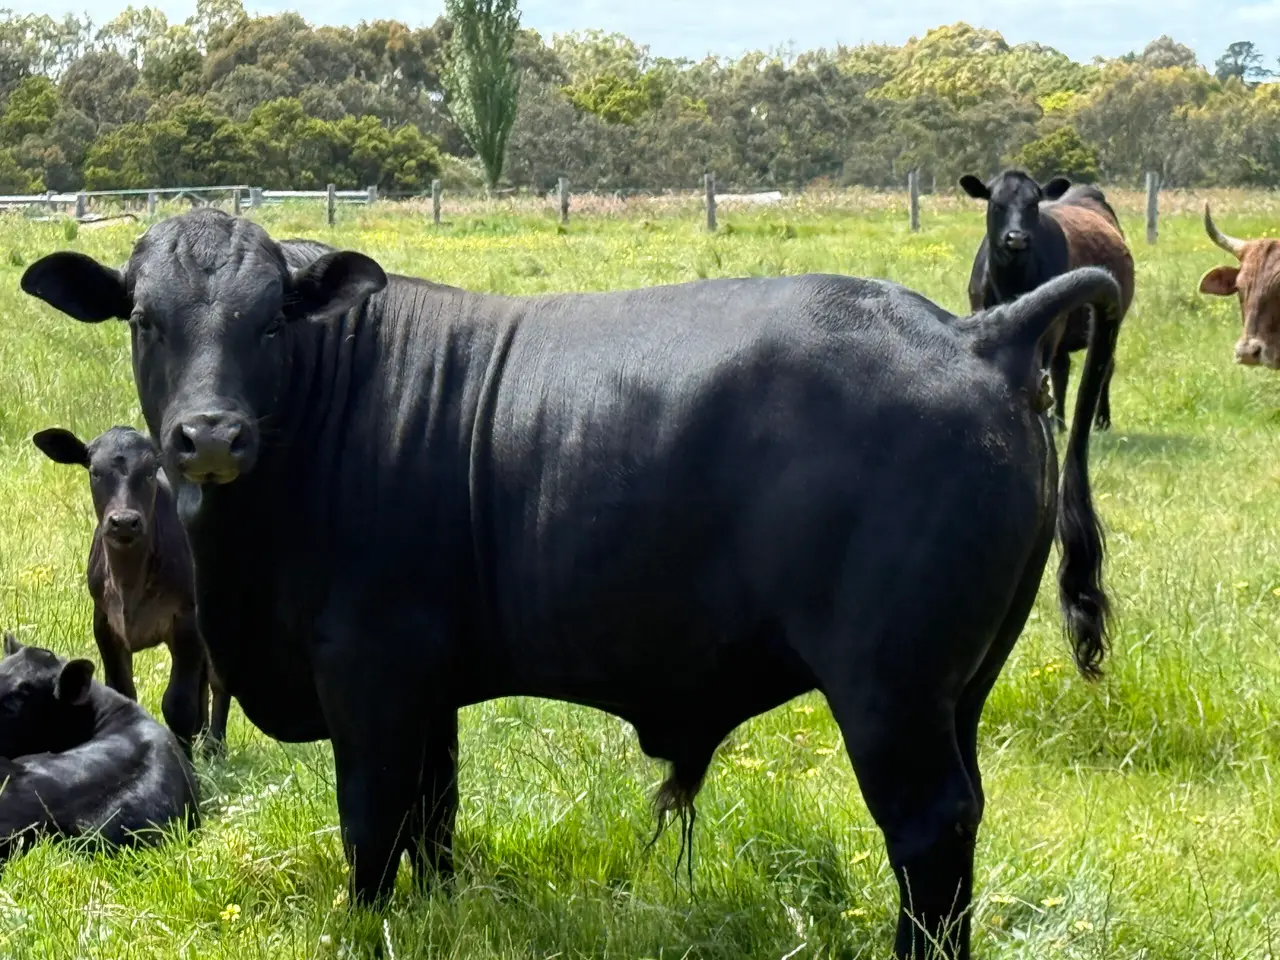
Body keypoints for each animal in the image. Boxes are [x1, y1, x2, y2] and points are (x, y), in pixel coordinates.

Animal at [31, 425, 231, 756]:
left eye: (150, 471)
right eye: (95, 472)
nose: (124, 522)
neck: (129, 584)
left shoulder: (186, 620)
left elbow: (178, 704)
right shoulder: (104, 624)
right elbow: (123, 691)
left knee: (217, 682)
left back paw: (214, 747)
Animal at [960, 170, 1135, 432]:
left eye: (1033, 205)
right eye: (996, 204)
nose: (1016, 238)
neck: (1012, 281)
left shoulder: (1054, 325)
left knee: (1102, 367)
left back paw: (1098, 419)